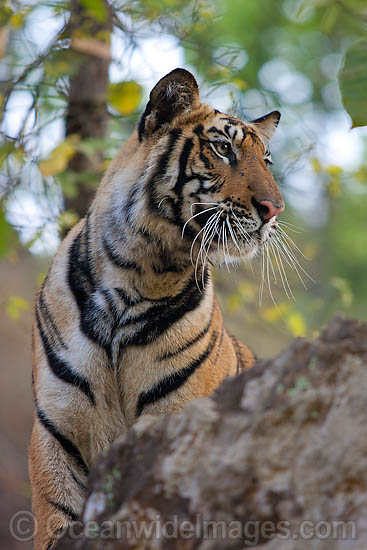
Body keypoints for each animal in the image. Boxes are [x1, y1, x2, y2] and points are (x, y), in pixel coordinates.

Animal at [30, 67, 286, 548]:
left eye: (267, 161)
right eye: (223, 148)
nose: (274, 209)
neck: (136, 272)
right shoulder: (56, 429)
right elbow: (55, 514)